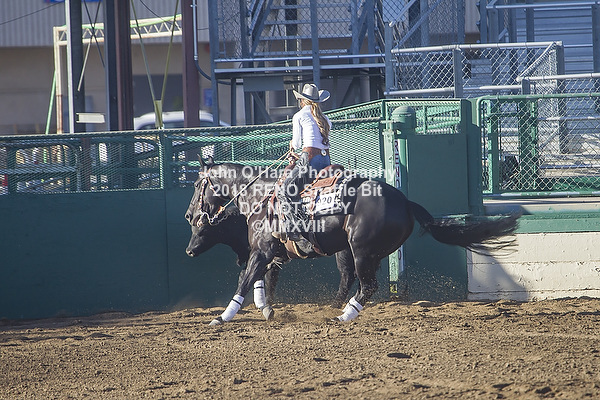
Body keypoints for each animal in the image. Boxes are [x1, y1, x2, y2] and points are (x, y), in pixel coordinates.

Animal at [184, 203, 357, 313]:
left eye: (204, 231)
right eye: (193, 230)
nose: (189, 251)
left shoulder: (264, 258)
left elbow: (254, 278)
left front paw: (264, 305)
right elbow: (262, 279)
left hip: (344, 252)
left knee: (347, 275)